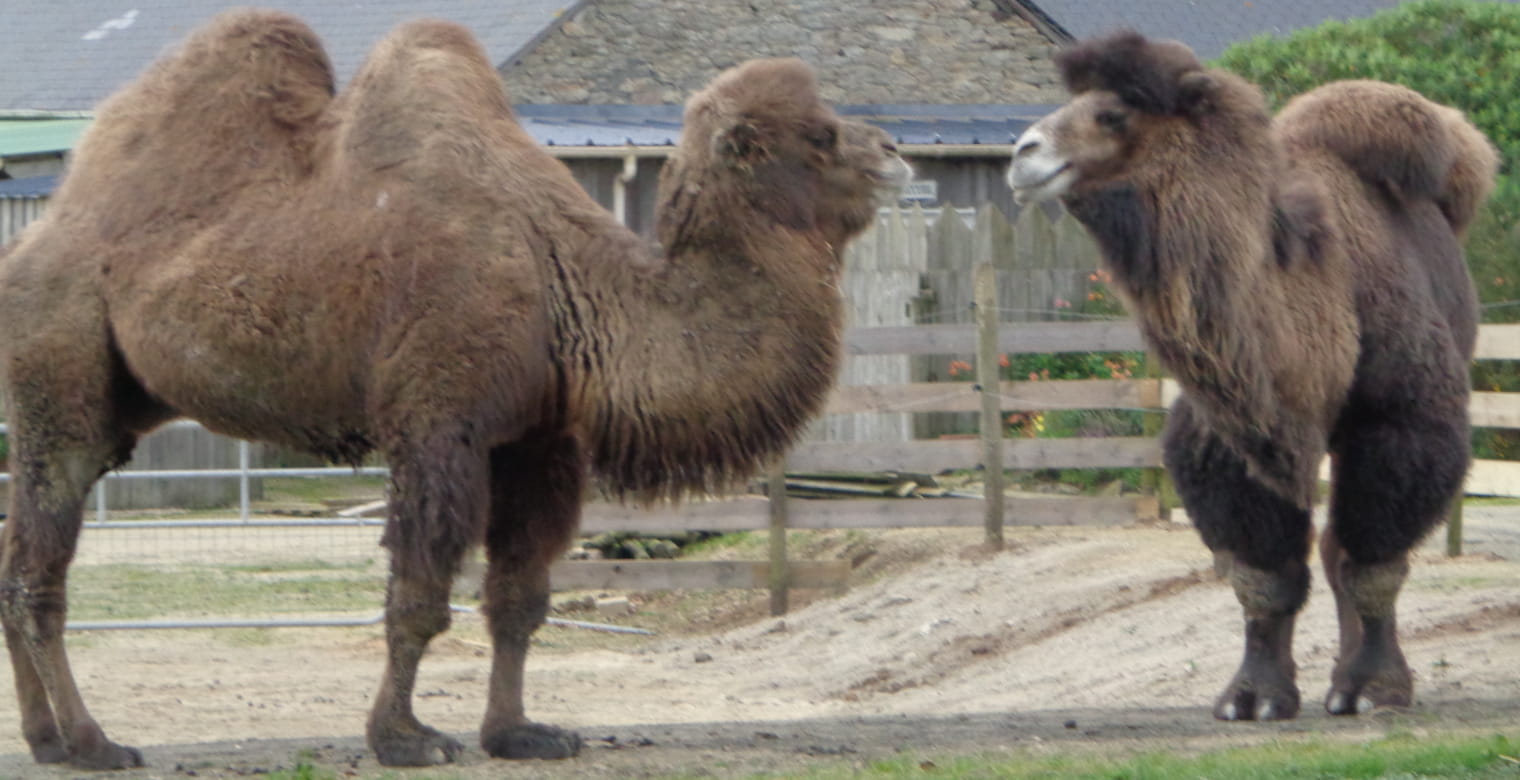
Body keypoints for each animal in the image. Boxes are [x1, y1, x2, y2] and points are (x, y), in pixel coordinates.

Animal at [0, 9, 899, 769]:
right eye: (820, 135)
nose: (892, 152)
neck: (571, 284)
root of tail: (30, 246)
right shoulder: (440, 423)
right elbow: (421, 594)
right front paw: (405, 738)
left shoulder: (541, 439)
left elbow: (520, 599)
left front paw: (521, 733)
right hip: (61, 374)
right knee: (44, 569)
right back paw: (94, 743)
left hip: (105, 403)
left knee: (15, 566)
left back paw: (46, 740)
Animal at [1009, 31, 1495, 723]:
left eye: (1113, 113)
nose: (1023, 154)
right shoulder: (1231, 432)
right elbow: (1263, 575)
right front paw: (1252, 697)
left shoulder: (1398, 419)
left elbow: (1372, 561)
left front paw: (1374, 688)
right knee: (1328, 546)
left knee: (1345, 547)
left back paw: (1353, 685)